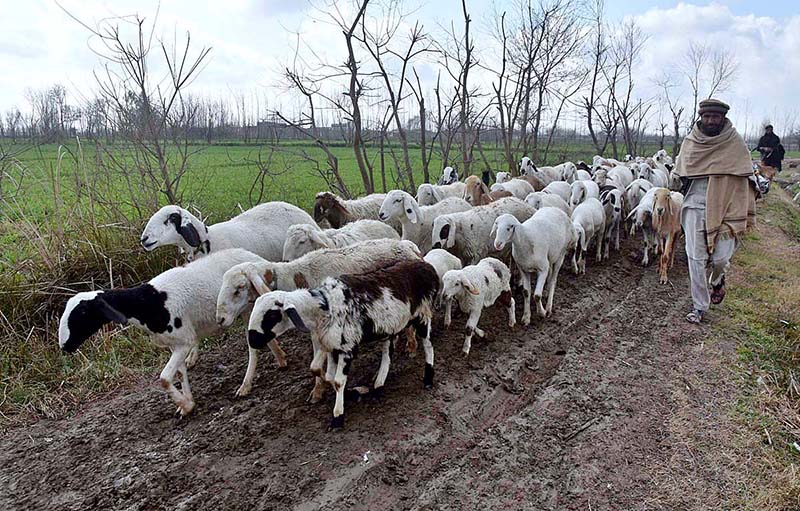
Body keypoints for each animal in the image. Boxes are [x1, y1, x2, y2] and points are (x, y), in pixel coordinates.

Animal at [61, 250, 266, 418]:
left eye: (82, 313)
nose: (64, 346)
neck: (148, 303)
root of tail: (255, 258)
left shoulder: (185, 342)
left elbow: (165, 378)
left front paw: (185, 404)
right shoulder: (175, 344)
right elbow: (180, 374)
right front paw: (188, 404)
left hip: (248, 309)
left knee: (252, 347)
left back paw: (246, 385)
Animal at [247, 260, 440, 428]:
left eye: (272, 315)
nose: (252, 340)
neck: (323, 307)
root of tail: (427, 266)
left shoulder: (347, 348)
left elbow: (338, 381)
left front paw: (337, 417)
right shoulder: (331, 346)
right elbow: (324, 373)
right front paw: (354, 393)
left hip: (423, 314)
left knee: (428, 346)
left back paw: (428, 379)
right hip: (389, 327)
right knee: (387, 354)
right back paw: (378, 385)